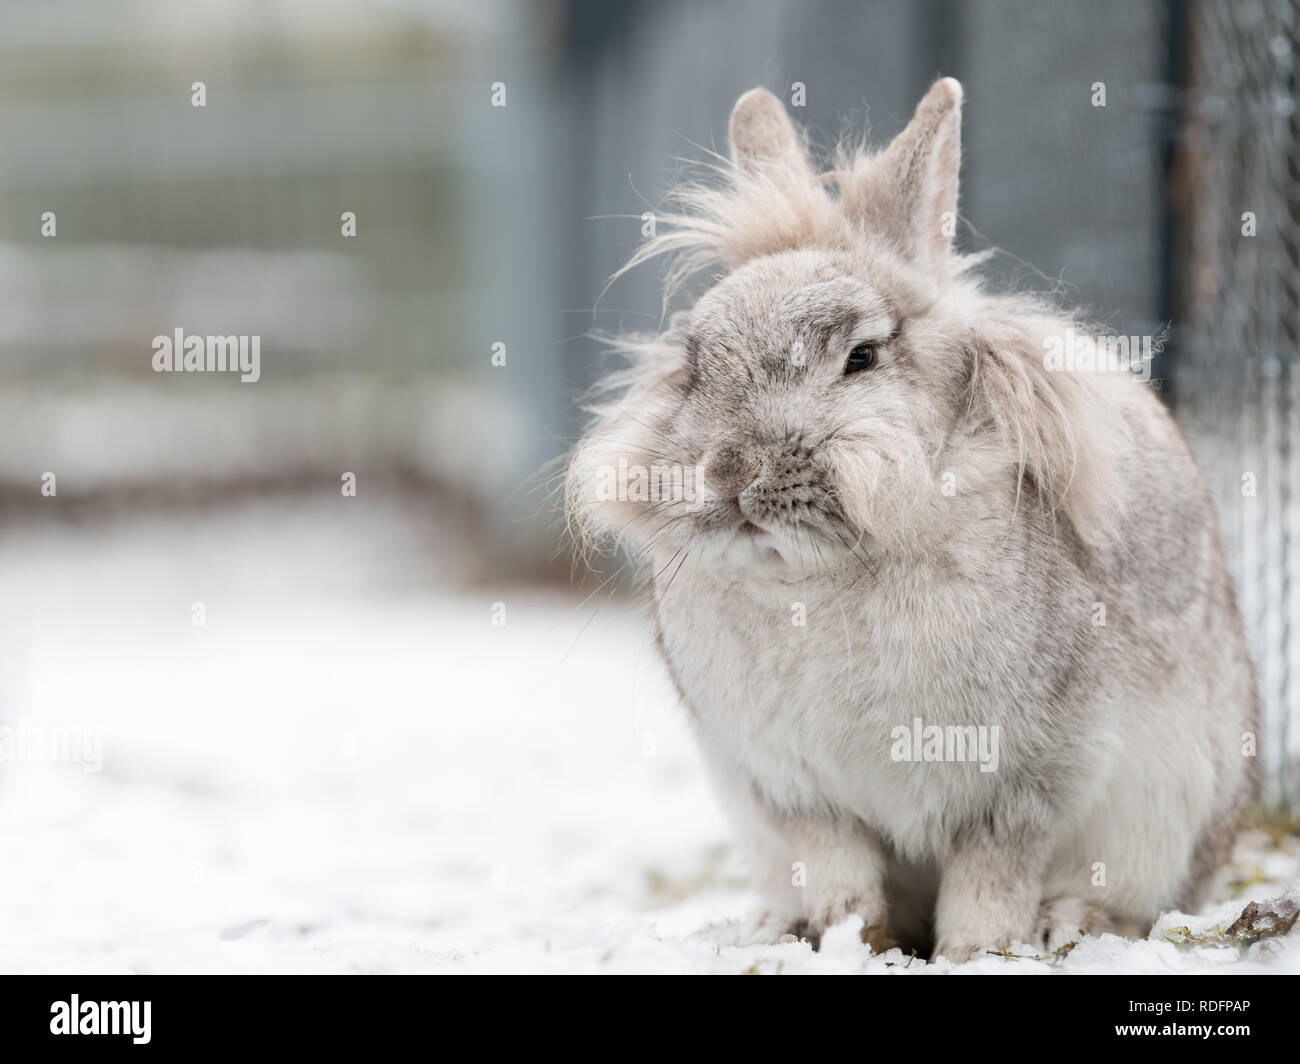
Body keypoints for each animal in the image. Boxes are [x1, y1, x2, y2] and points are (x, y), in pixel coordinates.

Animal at [567, 78, 1257, 961]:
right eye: (692, 366)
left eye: (861, 357)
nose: (732, 472)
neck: (811, 579)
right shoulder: (792, 790)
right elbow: (843, 879)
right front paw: (847, 943)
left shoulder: (1028, 781)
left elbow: (991, 876)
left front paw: (976, 954)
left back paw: (1076, 925)